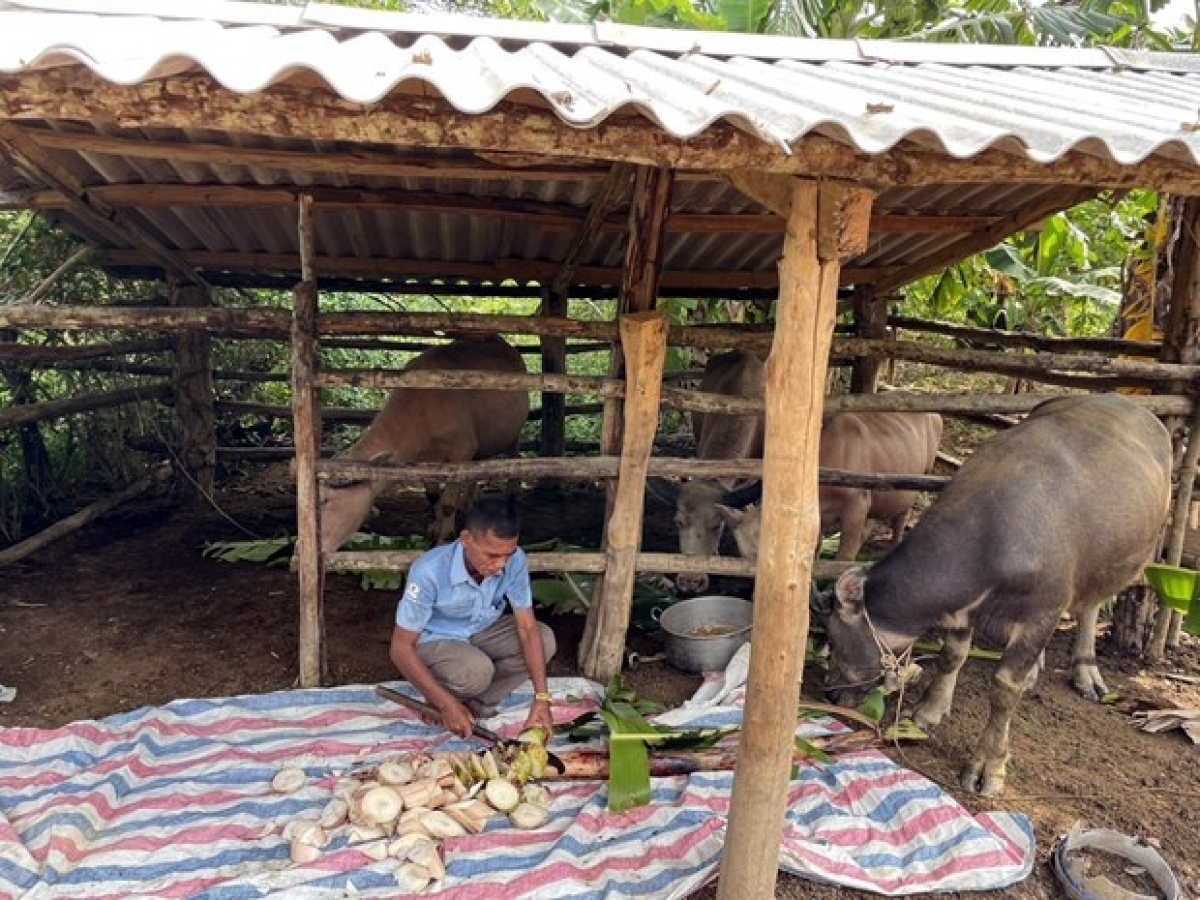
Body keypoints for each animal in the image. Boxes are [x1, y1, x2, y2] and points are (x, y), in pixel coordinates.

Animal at [319, 336, 530, 554]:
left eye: (325, 500)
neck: (419, 412)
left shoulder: (462, 451)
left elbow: (448, 504)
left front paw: (445, 538)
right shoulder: (424, 461)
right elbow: (433, 496)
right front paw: (437, 526)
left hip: (514, 432)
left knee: (514, 458)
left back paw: (511, 495)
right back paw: (467, 503)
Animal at [820, 393, 1166, 796]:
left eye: (832, 637)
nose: (830, 691)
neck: (993, 539)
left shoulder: (1042, 612)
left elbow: (1003, 689)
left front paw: (989, 765)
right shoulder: (961, 611)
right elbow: (951, 656)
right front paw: (928, 710)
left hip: (1114, 563)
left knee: (1091, 606)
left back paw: (1085, 672)